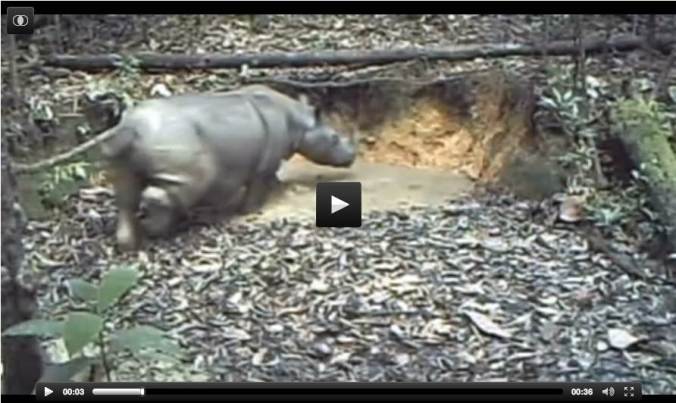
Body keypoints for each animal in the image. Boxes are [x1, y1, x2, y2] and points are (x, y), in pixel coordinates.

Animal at [85, 85, 357, 250]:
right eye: (335, 137)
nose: (353, 155)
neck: (300, 120)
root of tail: (129, 126)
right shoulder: (264, 163)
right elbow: (259, 183)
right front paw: (251, 210)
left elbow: (271, 178)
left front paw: (278, 189)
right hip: (180, 149)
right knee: (174, 189)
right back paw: (157, 230)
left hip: (123, 159)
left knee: (125, 195)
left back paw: (129, 243)